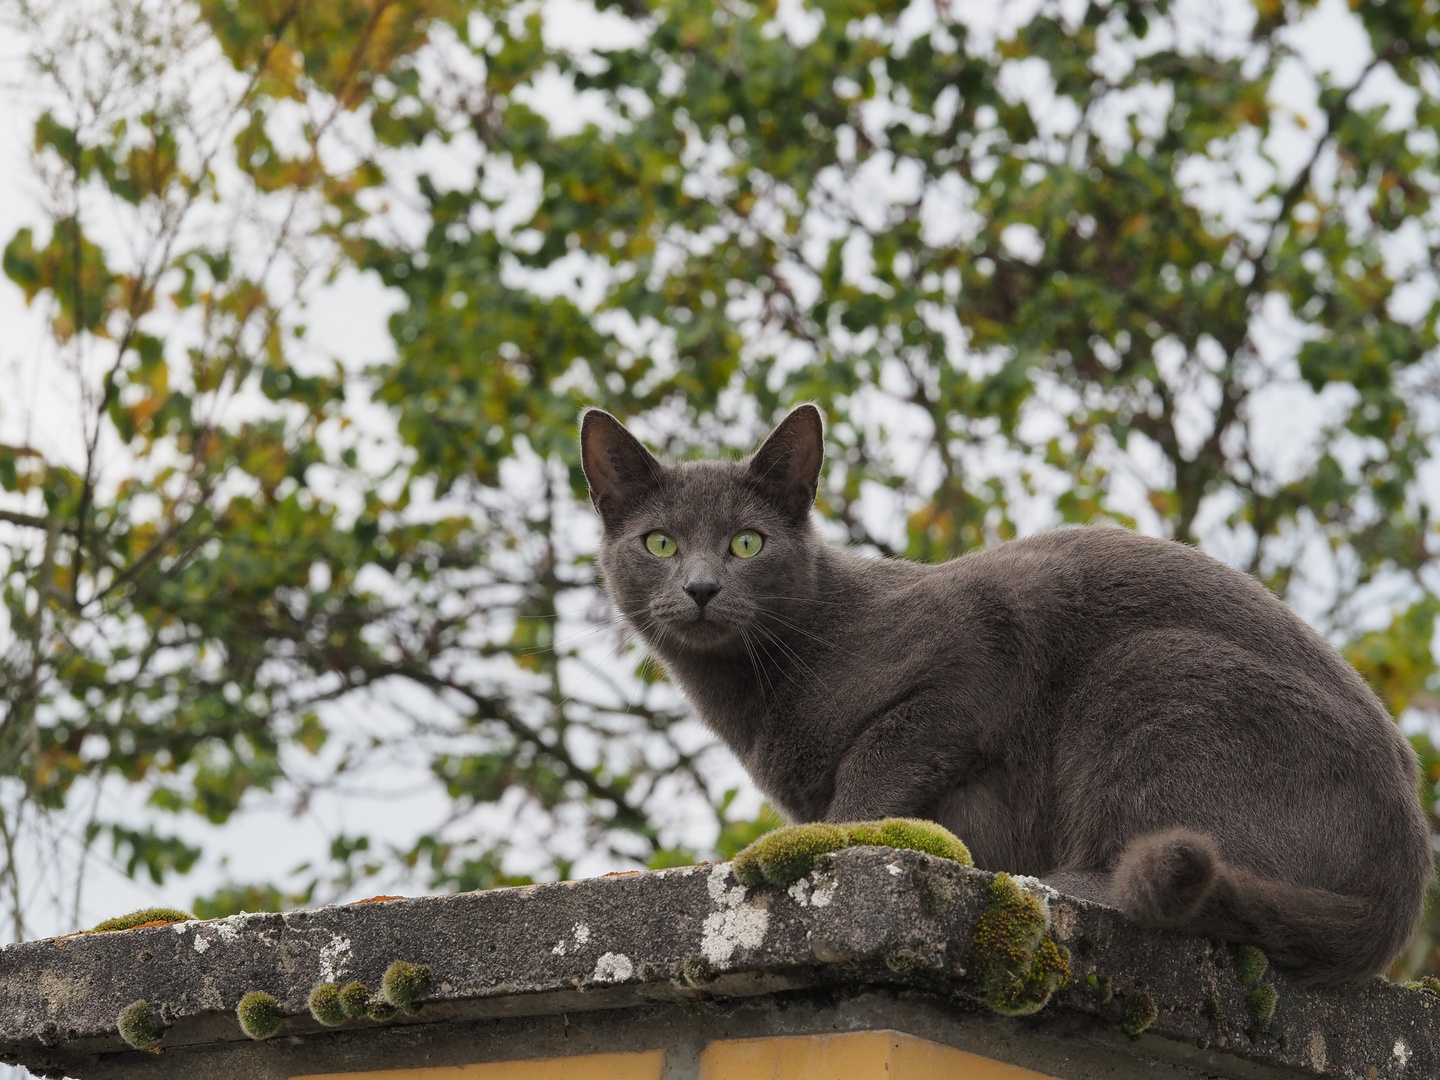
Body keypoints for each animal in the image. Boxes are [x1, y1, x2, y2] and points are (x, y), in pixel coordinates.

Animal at [578, 403, 1434, 984]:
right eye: (659, 542)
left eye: (747, 542)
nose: (700, 586)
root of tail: (1404, 885)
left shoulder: (974, 659)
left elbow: (878, 763)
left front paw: (835, 832)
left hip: (1149, 670)